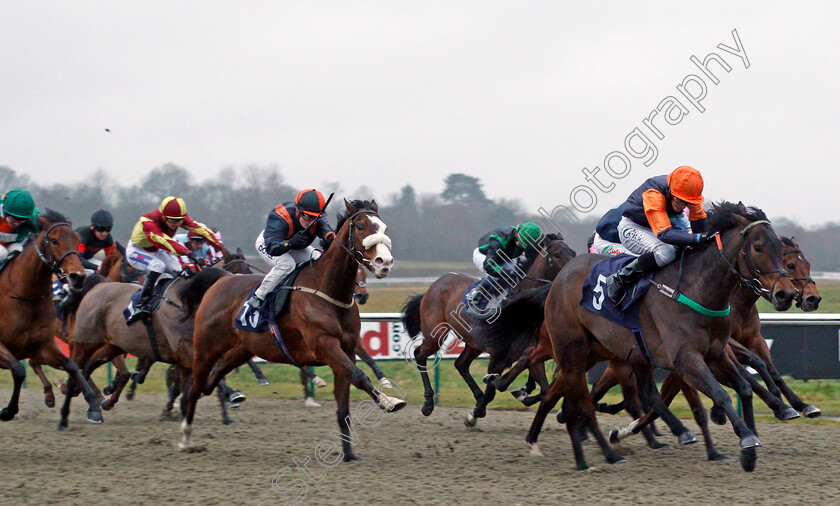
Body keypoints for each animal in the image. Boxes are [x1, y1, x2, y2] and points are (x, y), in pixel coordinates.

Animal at [0, 208, 101, 424]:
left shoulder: (43, 345)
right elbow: (19, 370)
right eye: (54, 240)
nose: (78, 277)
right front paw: (8, 410)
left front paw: (94, 406)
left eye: (77, 239)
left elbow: (72, 366)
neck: (26, 296)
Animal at [182, 200, 406, 460]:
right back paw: (185, 436)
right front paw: (389, 401)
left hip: (239, 350)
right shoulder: (325, 345)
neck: (328, 289)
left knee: (212, 378)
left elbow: (344, 404)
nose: (384, 262)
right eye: (360, 226)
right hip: (205, 348)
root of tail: (221, 279)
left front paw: (349, 454)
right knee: (194, 387)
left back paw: (227, 396)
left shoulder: (347, 351)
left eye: (383, 226)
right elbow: (359, 376)